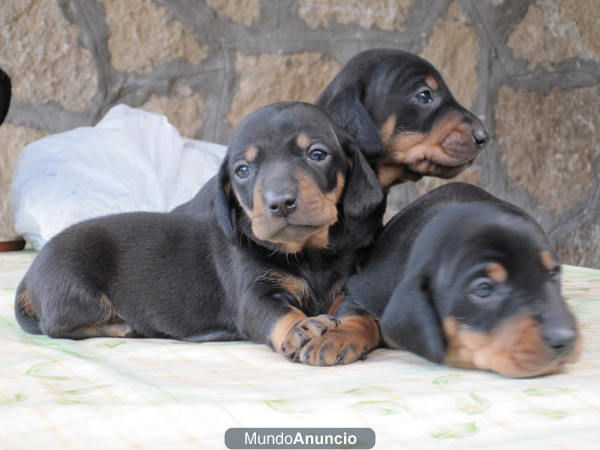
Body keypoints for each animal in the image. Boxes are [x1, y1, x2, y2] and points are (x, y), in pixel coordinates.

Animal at [14, 101, 382, 362]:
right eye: (243, 170)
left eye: (317, 154)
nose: (280, 203)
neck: (306, 253)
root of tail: (29, 277)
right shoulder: (254, 294)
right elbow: (278, 312)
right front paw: (302, 327)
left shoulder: (342, 289)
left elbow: (359, 312)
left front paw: (343, 336)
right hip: (77, 291)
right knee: (57, 325)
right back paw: (123, 325)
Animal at [336, 183, 580, 376]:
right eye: (483, 288)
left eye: (553, 273)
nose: (565, 338)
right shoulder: (366, 287)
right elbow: (356, 313)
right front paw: (341, 337)